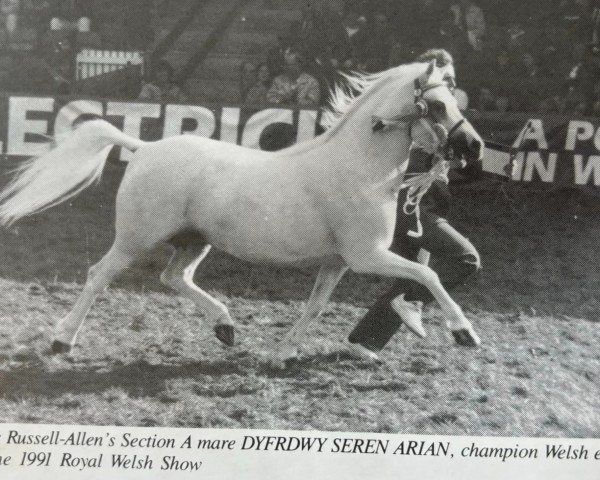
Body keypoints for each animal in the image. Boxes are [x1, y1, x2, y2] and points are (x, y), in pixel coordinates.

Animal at [0, 59, 482, 360]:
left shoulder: (338, 262)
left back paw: (226, 327)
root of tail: (145, 147)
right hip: (136, 237)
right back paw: (62, 340)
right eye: (438, 104)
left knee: (173, 278)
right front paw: (465, 332)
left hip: (194, 241)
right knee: (99, 275)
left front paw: (281, 353)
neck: (358, 168)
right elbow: (429, 275)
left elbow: (315, 306)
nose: (474, 147)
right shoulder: (367, 256)